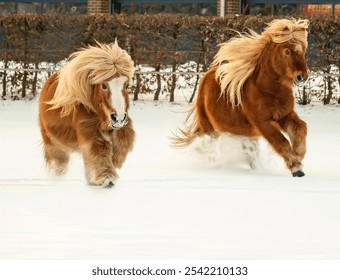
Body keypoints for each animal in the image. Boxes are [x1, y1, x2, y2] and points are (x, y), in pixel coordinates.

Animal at [39, 40, 135, 187]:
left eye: (126, 85)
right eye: (104, 85)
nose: (118, 118)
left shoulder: (120, 125)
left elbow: (124, 139)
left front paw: (115, 160)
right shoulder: (88, 129)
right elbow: (99, 148)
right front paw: (106, 177)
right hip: (53, 143)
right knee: (59, 164)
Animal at [174, 18, 310, 177]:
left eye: (303, 50)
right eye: (287, 51)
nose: (302, 77)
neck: (269, 91)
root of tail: (206, 77)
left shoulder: (285, 115)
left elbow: (300, 128)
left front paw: (298, 156)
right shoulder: (263, 122)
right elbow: (281, 142)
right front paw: (296, 168)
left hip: (244, 134)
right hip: (210, 129)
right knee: (209, 149)